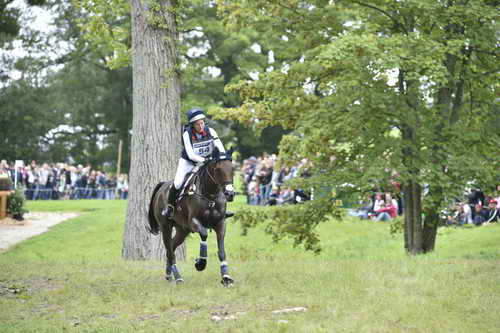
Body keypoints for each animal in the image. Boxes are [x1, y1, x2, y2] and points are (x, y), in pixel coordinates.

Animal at [146, 150, 236, 286]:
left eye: (232, 169)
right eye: (218, 169)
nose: (230, 194)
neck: (210, 196)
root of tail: (162, 187)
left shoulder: (220, 224)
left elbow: (221, 251)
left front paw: (226, 277)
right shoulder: (194, 222)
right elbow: (204, 234)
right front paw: (201, 263)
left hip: (182, 230)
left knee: (171, 248)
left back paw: (169, 274)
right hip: (166, 227)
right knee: (170, 252)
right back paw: (178, 277)